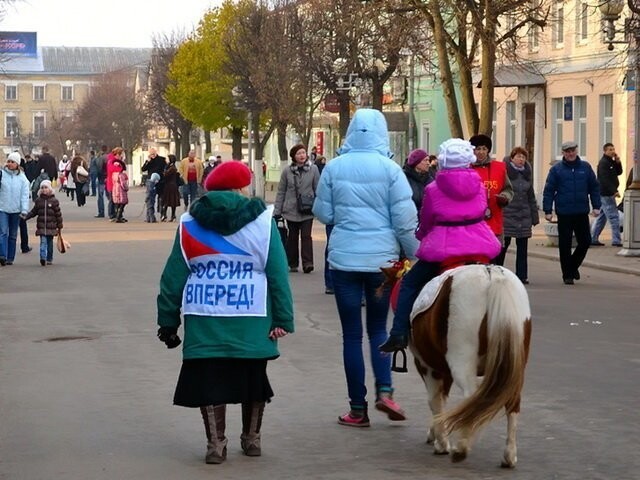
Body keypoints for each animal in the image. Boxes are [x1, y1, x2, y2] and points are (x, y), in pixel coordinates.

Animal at [388, 262, 532, 468]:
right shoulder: (443, 368)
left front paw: (441, 442)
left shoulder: (427, 365)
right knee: (512, 400)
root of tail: (491, 274)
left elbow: (435, 400)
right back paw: (509, 455)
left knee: (471, 396)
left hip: (461, 359)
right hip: (515, 364)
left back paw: (461, 447)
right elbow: (442, 398)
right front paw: (435, 433)